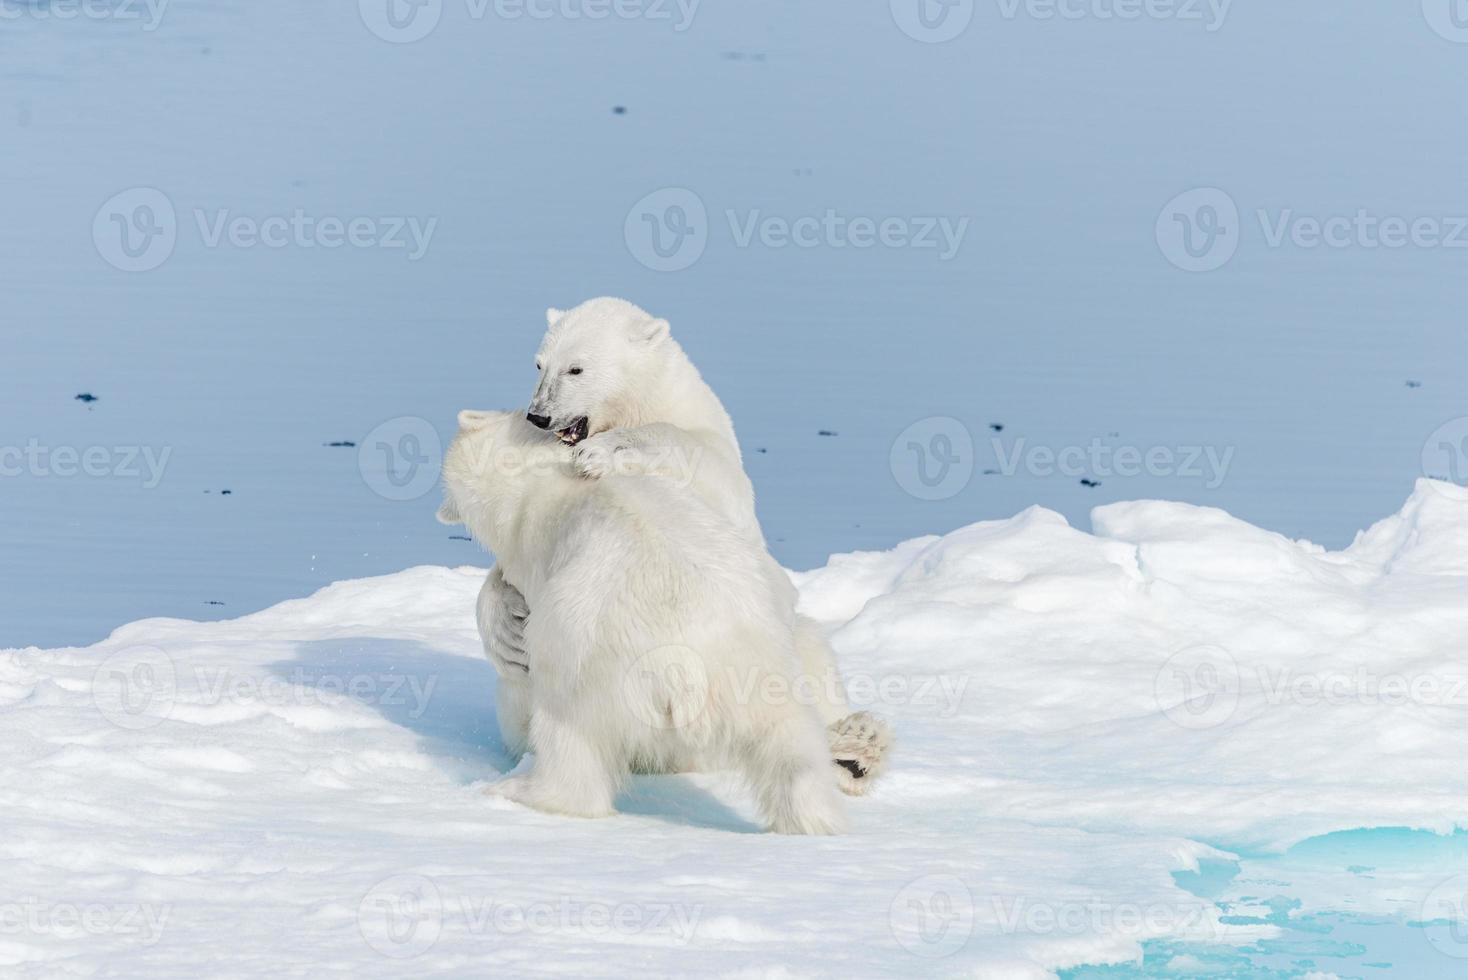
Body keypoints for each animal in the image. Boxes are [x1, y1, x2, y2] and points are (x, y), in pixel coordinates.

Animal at [437, 407, 851, 833]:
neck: (536, 477)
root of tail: (691, 666)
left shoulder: (531, 550)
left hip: (588, 658)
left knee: (568, 728)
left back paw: (518, 789)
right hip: (760, 662)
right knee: (791, 740)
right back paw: (816, 817)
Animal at [484, 299, 892, 798]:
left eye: (576, 368)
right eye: (539, 364)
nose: (538, 416)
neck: (642, 402)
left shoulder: (712, 456)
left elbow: (699, 460)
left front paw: (605, 452)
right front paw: (504, 627)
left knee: (808, 650)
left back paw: (858, 749)